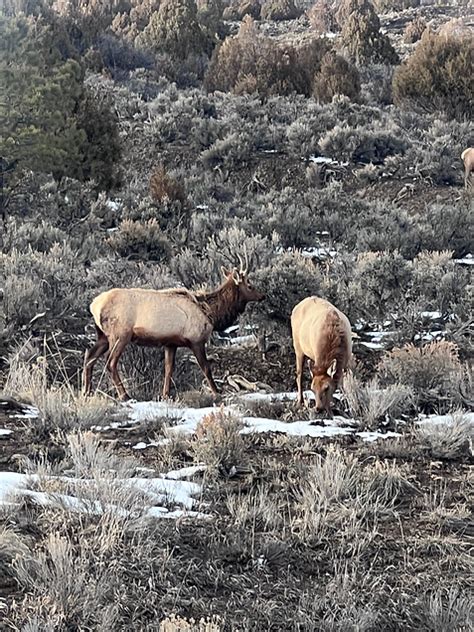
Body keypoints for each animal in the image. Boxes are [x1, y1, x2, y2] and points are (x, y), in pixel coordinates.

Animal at [83, 256, 264, 400]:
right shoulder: (196, 340)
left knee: (89, 356)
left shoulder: (171, 343)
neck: (210, 312)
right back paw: (125, 395)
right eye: (249, 285)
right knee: (110, 362)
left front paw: (165, 395)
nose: (262, 295)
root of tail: (94, 306)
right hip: (120, 335)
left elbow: (169, 369)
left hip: (103, 336)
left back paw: (87, 392)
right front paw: (216, 391)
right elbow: (206, 367)